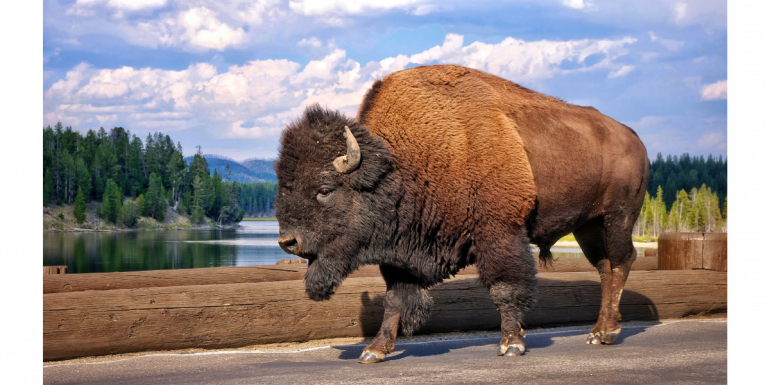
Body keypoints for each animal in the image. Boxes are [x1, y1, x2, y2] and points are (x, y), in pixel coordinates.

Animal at [272, 64, 644, 362]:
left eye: (324, 189)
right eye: (283, 187)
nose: (288, 241)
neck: (398, 167)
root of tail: (634, 138)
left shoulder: (499, 233)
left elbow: (505, 288)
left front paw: (511, 344)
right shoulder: (400, 255)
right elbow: (394, 300)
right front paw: (374, 351)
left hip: (616, 218)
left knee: (622, 261)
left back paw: (606, 333)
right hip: (587, 227)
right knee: (604, 267)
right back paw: (599, 331)